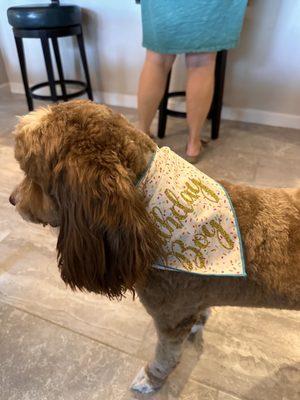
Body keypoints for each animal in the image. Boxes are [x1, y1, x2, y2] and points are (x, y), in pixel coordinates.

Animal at [9, 100, 300, 394]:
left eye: (32, 175)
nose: (11, 199)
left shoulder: (170, 319)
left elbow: (166, 357)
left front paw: (152, 379)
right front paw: (200, 322)